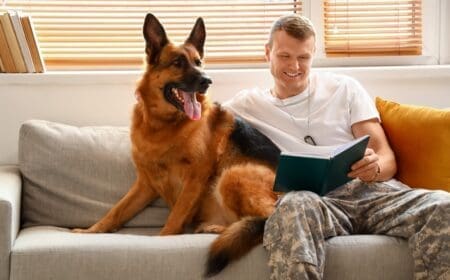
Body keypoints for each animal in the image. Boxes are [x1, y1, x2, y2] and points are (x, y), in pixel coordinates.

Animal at [73, 13, 282, 278]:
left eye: (199, 62)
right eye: (177, 63)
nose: (207, 81)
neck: (164, 127)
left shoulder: (195, 178)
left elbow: (174, 217)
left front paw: (160, 241)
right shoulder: (145, 184)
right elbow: (116, 211)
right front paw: (91, 230)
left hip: (232, 175)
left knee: (265, 220)